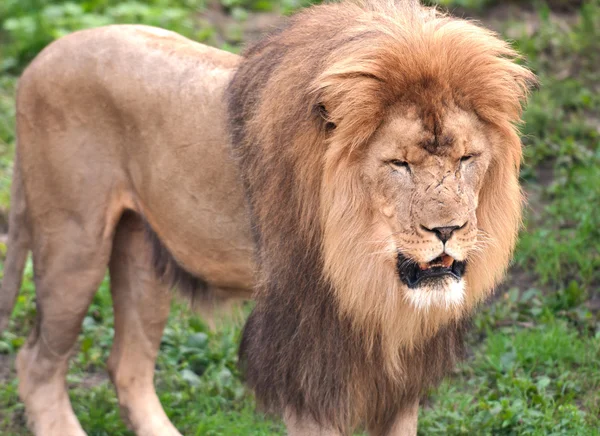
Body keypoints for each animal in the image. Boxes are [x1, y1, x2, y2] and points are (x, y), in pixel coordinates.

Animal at [0, 0, 536, 436]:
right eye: (398, 164)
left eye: (466, 159)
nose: (447, 230)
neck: (369, 274)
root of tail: (39, 60)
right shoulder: (309, 362)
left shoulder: (400, 373)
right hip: (73, 244)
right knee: (36, 363)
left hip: (140, 253)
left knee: (126, 365)